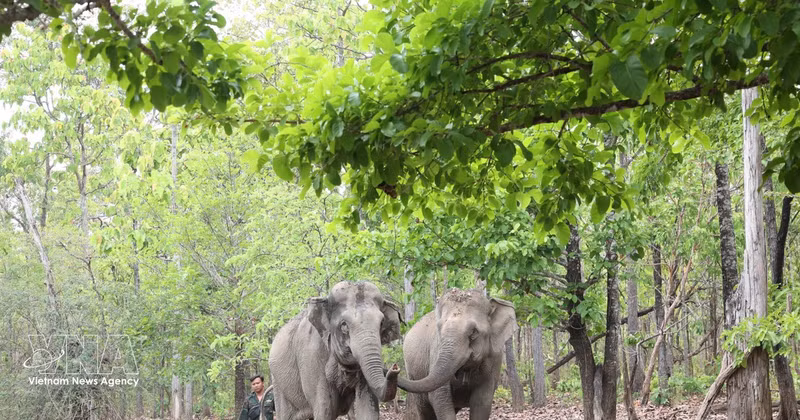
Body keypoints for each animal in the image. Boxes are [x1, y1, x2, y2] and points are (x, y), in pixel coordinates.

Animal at [268, 281, 403, 420]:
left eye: (381, 323)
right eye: (344, 325)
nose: (395, 367)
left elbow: (367, 408)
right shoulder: (311, 357)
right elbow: (325, 410)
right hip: (278, 384)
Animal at [397, 288, 516, 420]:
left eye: (473, 332)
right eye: (439, 328)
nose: (394, 368)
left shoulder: (494, 359)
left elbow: (482, 402)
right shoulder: (436, 350)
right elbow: (439, 398)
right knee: (425, 410)